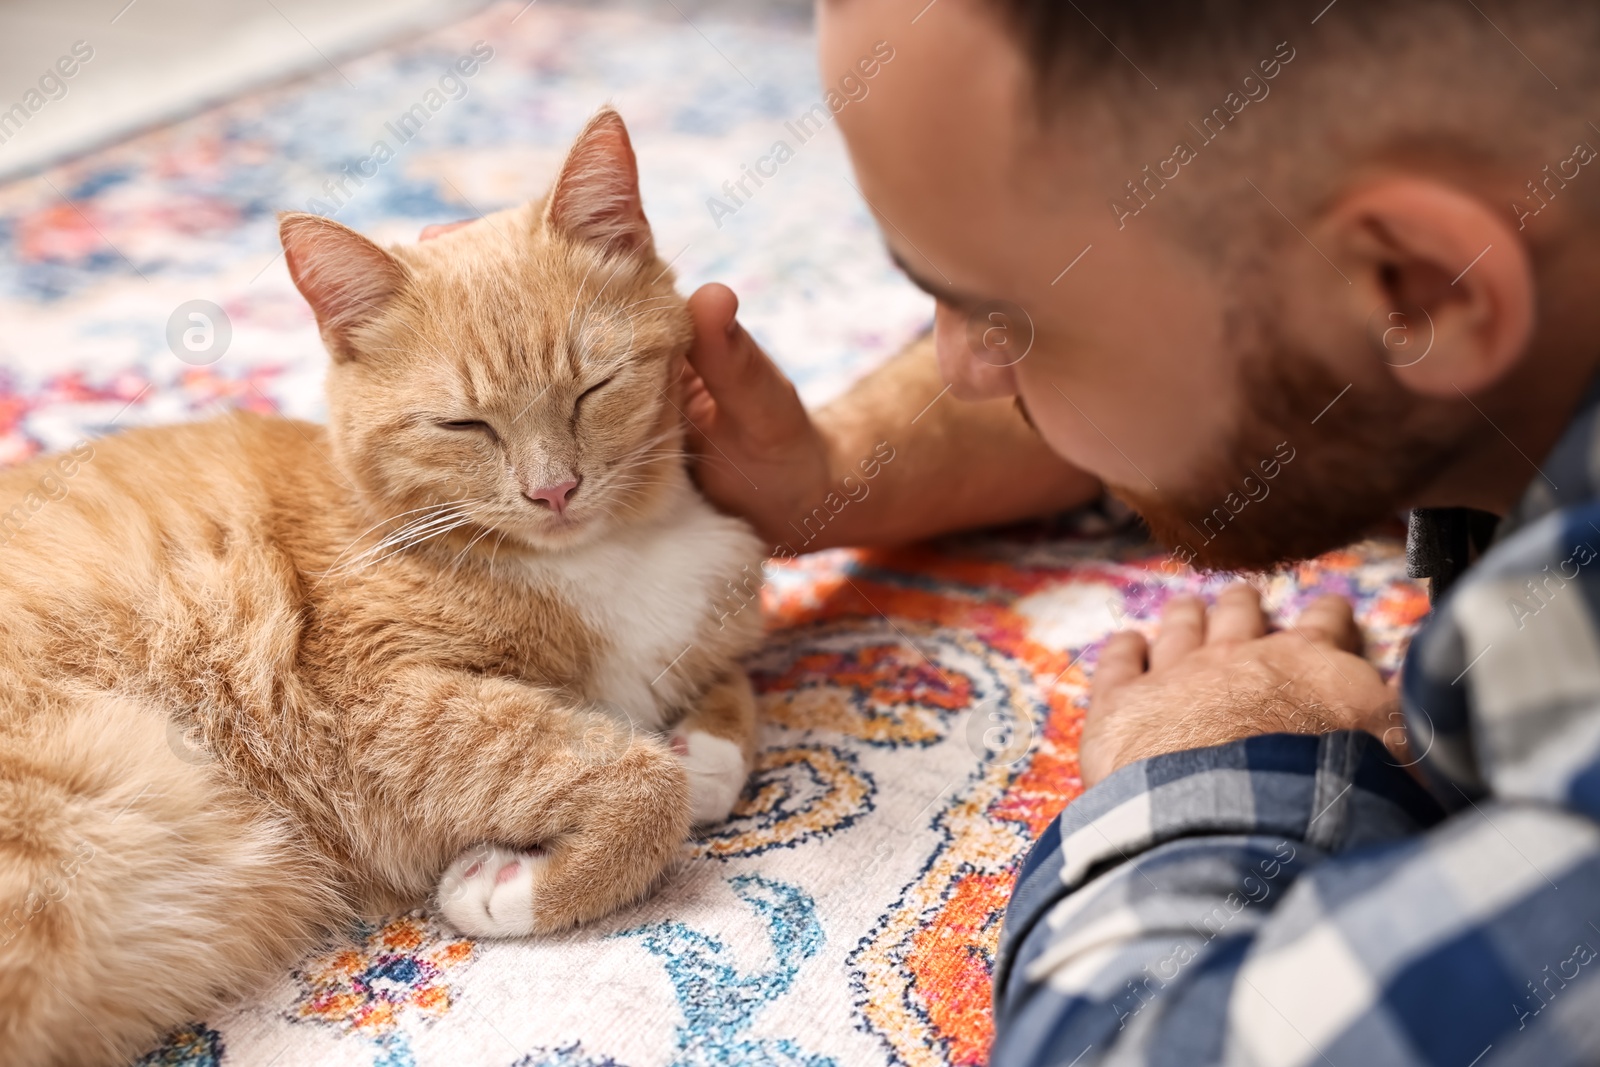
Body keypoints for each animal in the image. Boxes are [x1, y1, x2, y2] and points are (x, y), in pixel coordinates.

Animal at [0, 108, 761, 1067]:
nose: (553, 490)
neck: (606, 552)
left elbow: (725, 709)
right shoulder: (368, 702)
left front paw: (703, 747)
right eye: (464, 425)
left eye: (595, 388)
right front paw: (516, 883)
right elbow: (633, 780)